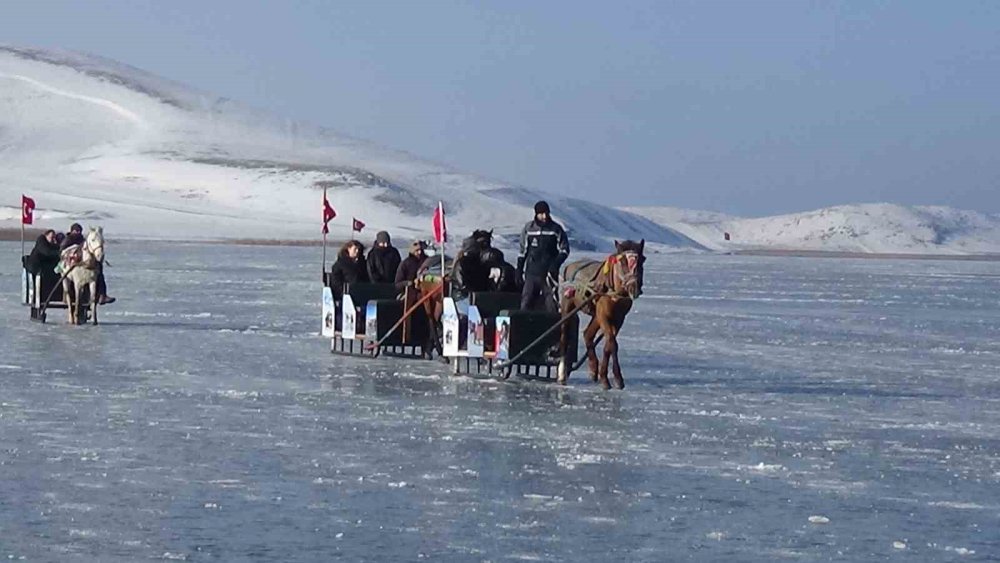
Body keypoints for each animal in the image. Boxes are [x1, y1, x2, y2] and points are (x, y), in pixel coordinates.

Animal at [560, 240, 644, 390]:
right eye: (622, 261)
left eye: (642, 260)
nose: (634, 288)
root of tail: (569, 266)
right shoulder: (603, 315)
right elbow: (612, 343)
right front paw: (615, 378)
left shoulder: (619, 318)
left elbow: (608, 346)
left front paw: (604, 376)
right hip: (568, 305)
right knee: (564, 334)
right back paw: (563, 373)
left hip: (596, 316)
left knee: (587, 334)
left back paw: (593, 369)